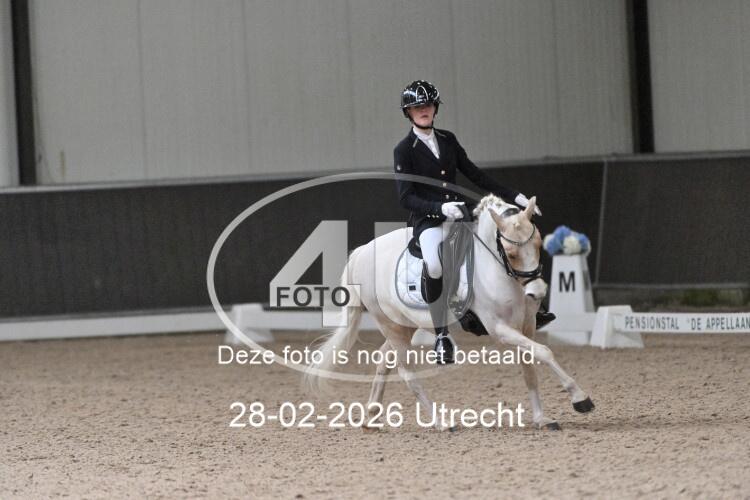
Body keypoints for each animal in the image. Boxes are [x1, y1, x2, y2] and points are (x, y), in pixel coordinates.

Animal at [303, 194, 594, 431]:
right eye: (511, 254)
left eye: (538, 244)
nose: (537, 292)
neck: (497, 267)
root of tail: (362, 252)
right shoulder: (500, 329)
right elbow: (545, 352)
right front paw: (581, 399)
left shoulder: (527, 325)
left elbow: (531, 367)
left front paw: (542, 418)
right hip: (391, 325)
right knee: (407, 374)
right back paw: (441, 422)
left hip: (404, 326)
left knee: (384, 359)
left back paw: (370, 417)